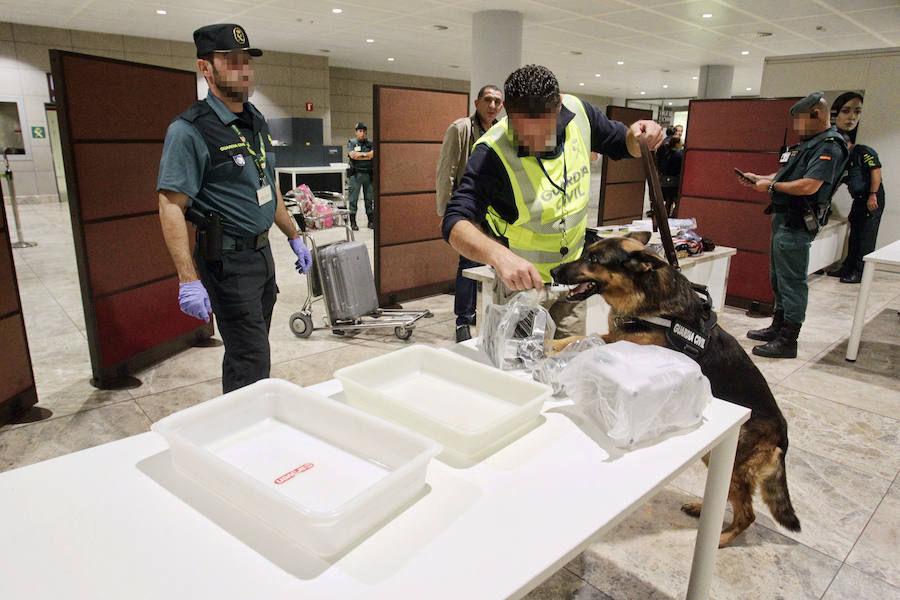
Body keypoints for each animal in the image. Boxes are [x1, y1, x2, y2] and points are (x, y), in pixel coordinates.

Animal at [552, 233, 800, 548]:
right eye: (586, 253)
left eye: (593, 260)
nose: (552, 272)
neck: (645, 298)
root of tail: (783, 432)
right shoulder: (614, 335)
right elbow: (579, 337)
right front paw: (552, 343)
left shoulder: (628, 347)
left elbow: (587, 344)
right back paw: (702, 509)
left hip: (731, 462)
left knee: (747, 513)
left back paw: (720, 539)